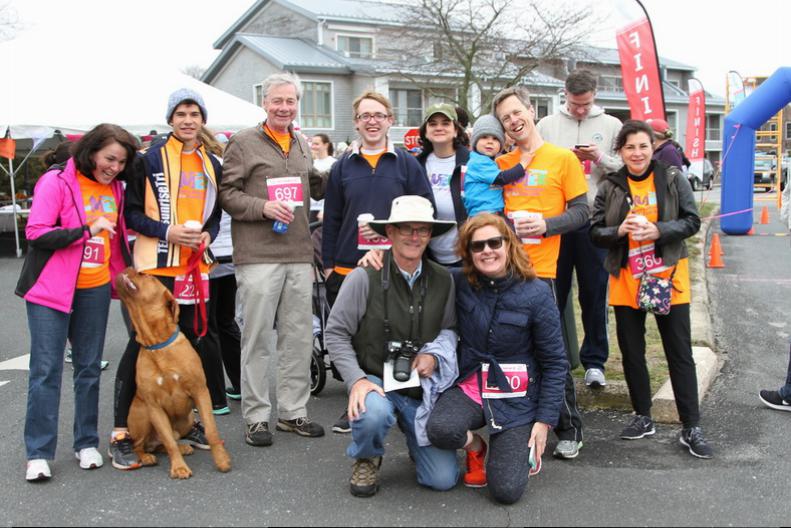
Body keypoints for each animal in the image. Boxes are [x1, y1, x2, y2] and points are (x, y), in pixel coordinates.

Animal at [116, 268, 232, 478]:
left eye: (146, 276)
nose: (129, 267)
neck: (157, 344)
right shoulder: (154, 406)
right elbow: (169, 442)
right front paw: (179, 467)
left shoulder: (201, 392)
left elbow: (211, 431)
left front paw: (222, 460)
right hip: (142, 415)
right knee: (143, 444)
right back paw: (146, 456)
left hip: (187, 419)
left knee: (163, 442)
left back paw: (183, 447)